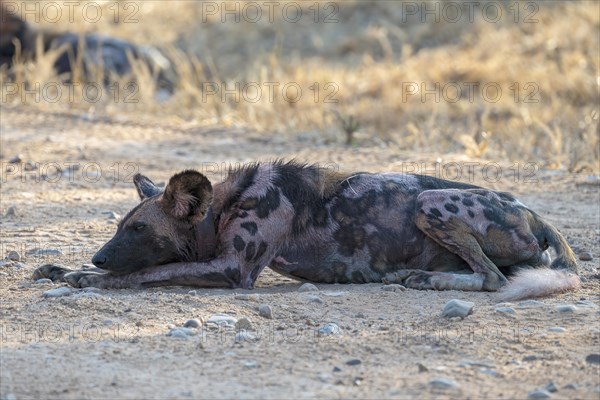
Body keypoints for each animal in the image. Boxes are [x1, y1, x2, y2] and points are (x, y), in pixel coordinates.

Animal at [35, 159, 580, 300]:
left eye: (139, 230)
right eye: (121, 227)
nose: (101, 256)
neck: (225, 208)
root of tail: (533, 212)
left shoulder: (232, 271)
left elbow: (142, 275)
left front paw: (88, 278)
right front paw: (63, 268)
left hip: (431, 202)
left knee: (492, 278)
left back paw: (426, 279)